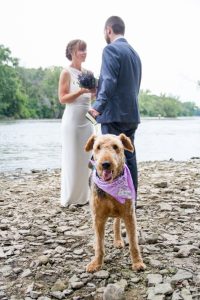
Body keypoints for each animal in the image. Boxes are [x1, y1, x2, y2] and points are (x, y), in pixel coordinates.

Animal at [84, 134, 145, 272]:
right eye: (98, 147)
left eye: (116, 147)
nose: (105, 164)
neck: (110, 185)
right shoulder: (98, 217)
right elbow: (100, 244)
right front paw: (96, 263)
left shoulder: (129, 215)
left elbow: (133, 243)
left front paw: (137, 263)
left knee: (116, 223)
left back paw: (118, 240)